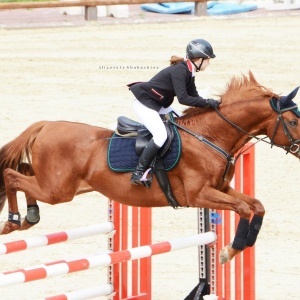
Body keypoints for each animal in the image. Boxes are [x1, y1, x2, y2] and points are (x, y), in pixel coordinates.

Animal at [0, 71, 300, 264]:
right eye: (294, 121)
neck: (210, 137)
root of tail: (45, 125)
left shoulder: (222, 189)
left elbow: (256, 206)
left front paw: (240, 246)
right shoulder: (199, 195)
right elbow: (243, 209)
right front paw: (230, 250)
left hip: (56, 185)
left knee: (23, 171)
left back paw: (29, 217)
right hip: (57, 190)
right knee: (11, 175)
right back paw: (13, 221)